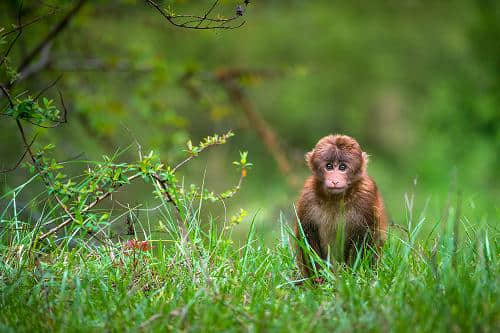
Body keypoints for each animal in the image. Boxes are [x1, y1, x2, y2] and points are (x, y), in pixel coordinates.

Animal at [294, 134, 388, 278]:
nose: (334, 180)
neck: (337, 199)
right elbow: (307, 233)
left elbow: (366, 236)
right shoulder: (308, 196)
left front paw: (352, 276)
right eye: (329, 166)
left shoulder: (367, 195)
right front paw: (318, 278)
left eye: (342, 167)